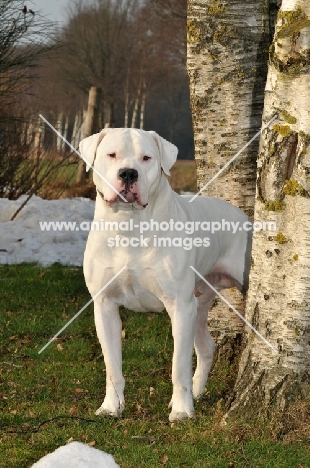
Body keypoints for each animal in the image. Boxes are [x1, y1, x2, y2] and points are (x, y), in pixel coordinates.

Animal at [80, 127, 252, 420]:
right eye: (112, 154)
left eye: (146, 158)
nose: (128, 173)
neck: (129, 225)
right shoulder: (104, 306)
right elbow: (112, 365)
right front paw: (111, 406)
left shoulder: (180, 306)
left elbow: (178, 365)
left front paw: (181, 411)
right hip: (199, 303)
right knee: (206, 348)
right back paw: (197, 393)